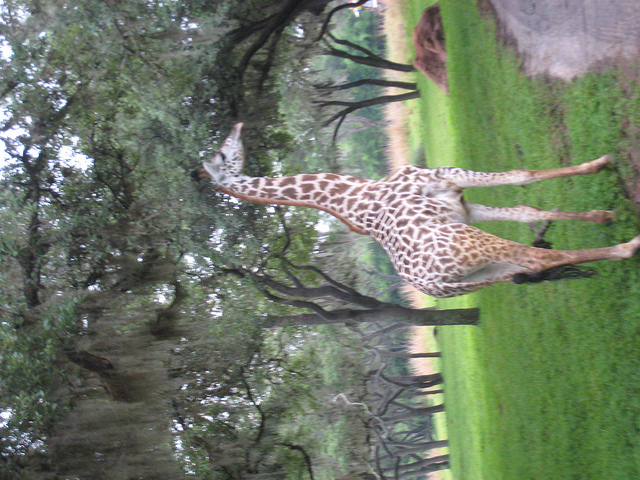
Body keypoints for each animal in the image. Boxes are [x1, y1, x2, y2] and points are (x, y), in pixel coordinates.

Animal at [198, 122, 640, 298]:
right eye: (222, 153)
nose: (238, 126)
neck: (356, 195)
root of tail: (436, 285)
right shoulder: (447, 179)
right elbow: (523, 175)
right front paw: (602, 165)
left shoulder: (461, 205)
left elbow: (526, 207)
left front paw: (601, 214)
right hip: (473, 246)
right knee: (540, 256)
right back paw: (630, 245)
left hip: (487, 272)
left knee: (534, 260)